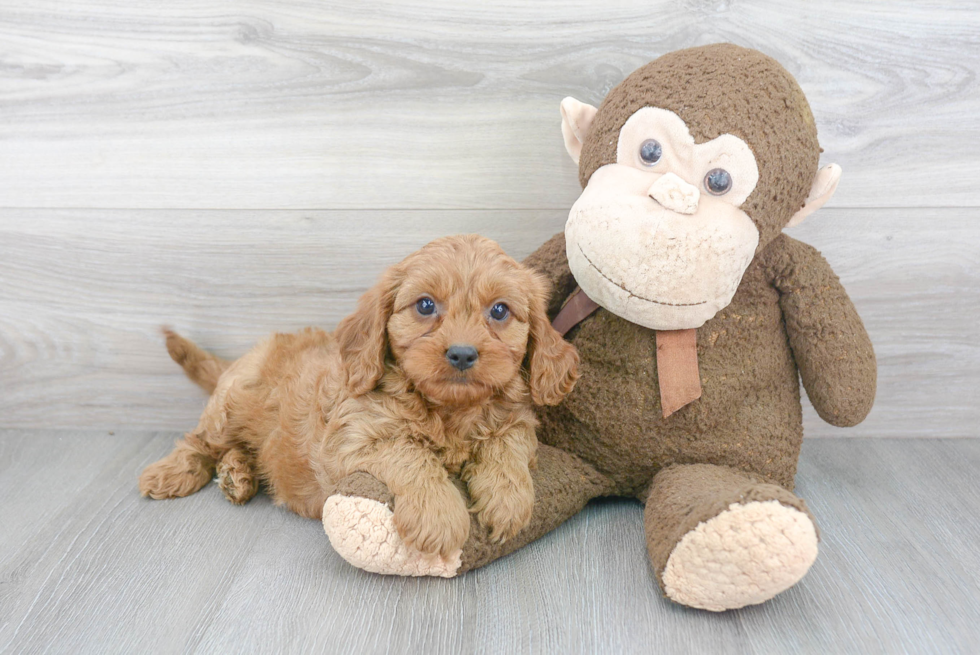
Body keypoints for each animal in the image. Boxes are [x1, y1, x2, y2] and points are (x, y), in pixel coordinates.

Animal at [142, 236, 580, 560]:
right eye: (425, 305)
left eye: (500, 311)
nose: (461, 354)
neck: (448, 409)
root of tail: (243, 357)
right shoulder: (353, 437)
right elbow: (411, 453)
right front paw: (438, 516)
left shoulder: (519, 421)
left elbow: (507, 446)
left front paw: (508, 501)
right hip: (230, 405)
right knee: (200, 441)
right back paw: (171, 473)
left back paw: (238, 474)